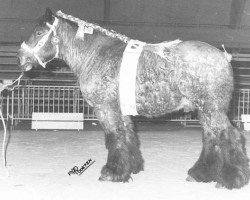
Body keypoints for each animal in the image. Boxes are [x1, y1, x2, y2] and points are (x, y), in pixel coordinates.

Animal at [16, 8, 249, 189]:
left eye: (39, 32)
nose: (21, 57)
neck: (95, 54)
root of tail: (223, 57)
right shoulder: (121, 111)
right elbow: (127, 136)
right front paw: (132, 168)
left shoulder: (105, 109)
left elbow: (114, 138)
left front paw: (112, 173)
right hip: (205, 110)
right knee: (211, 138)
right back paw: (201, 174)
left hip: (212, 109)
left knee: (229, 136)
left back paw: (232, 179)